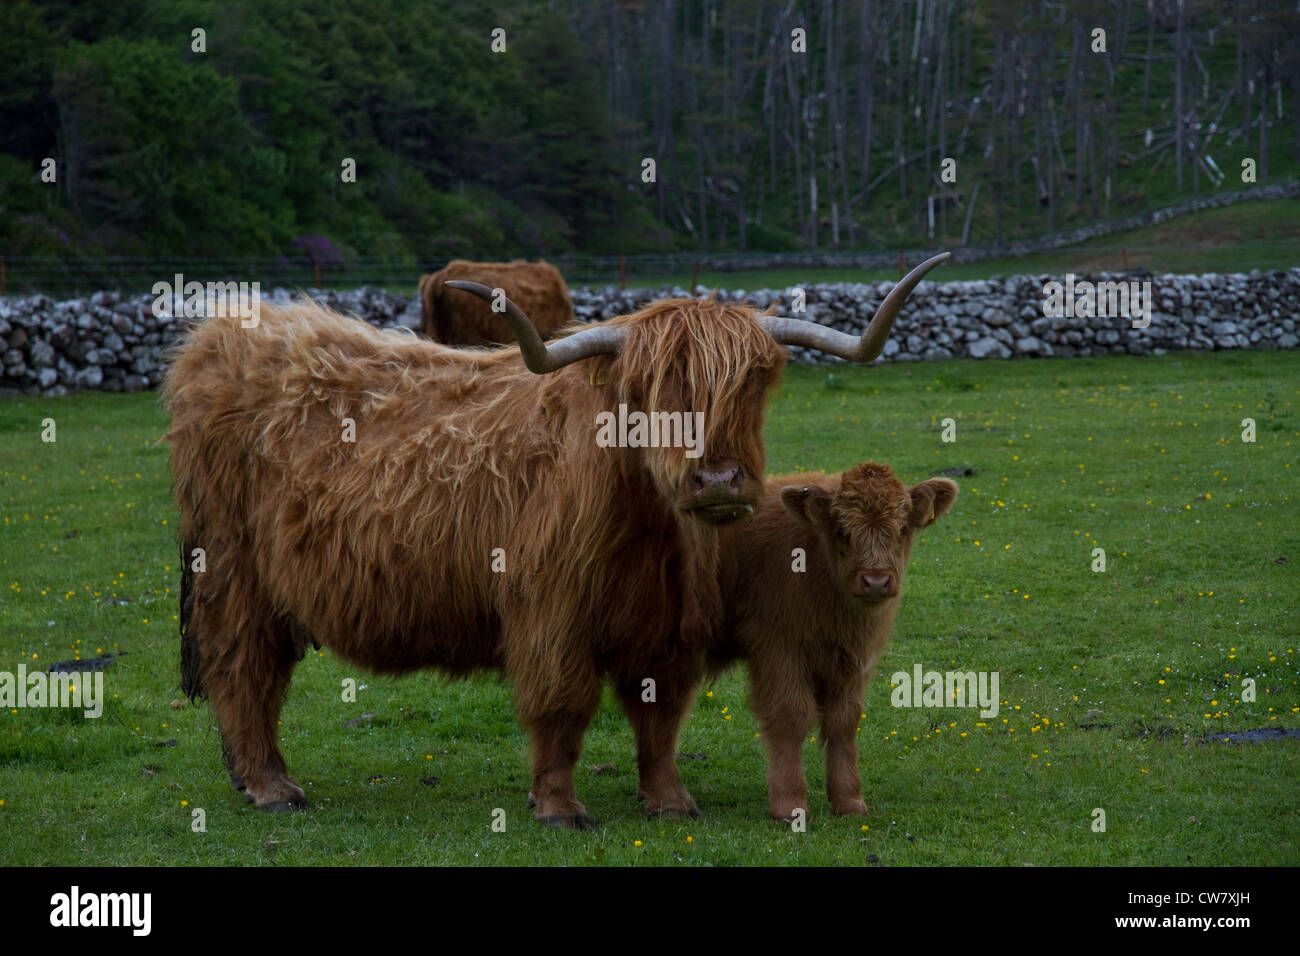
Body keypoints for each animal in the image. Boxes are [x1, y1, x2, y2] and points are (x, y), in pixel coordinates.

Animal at [713, 462, 958, 821]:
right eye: (843, 531)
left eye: (901, 528)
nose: (875, 581)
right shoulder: (776, 647)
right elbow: (791, 715)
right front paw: (789, 802)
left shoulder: (854, 659)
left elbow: (843, 720)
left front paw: (848, 800)